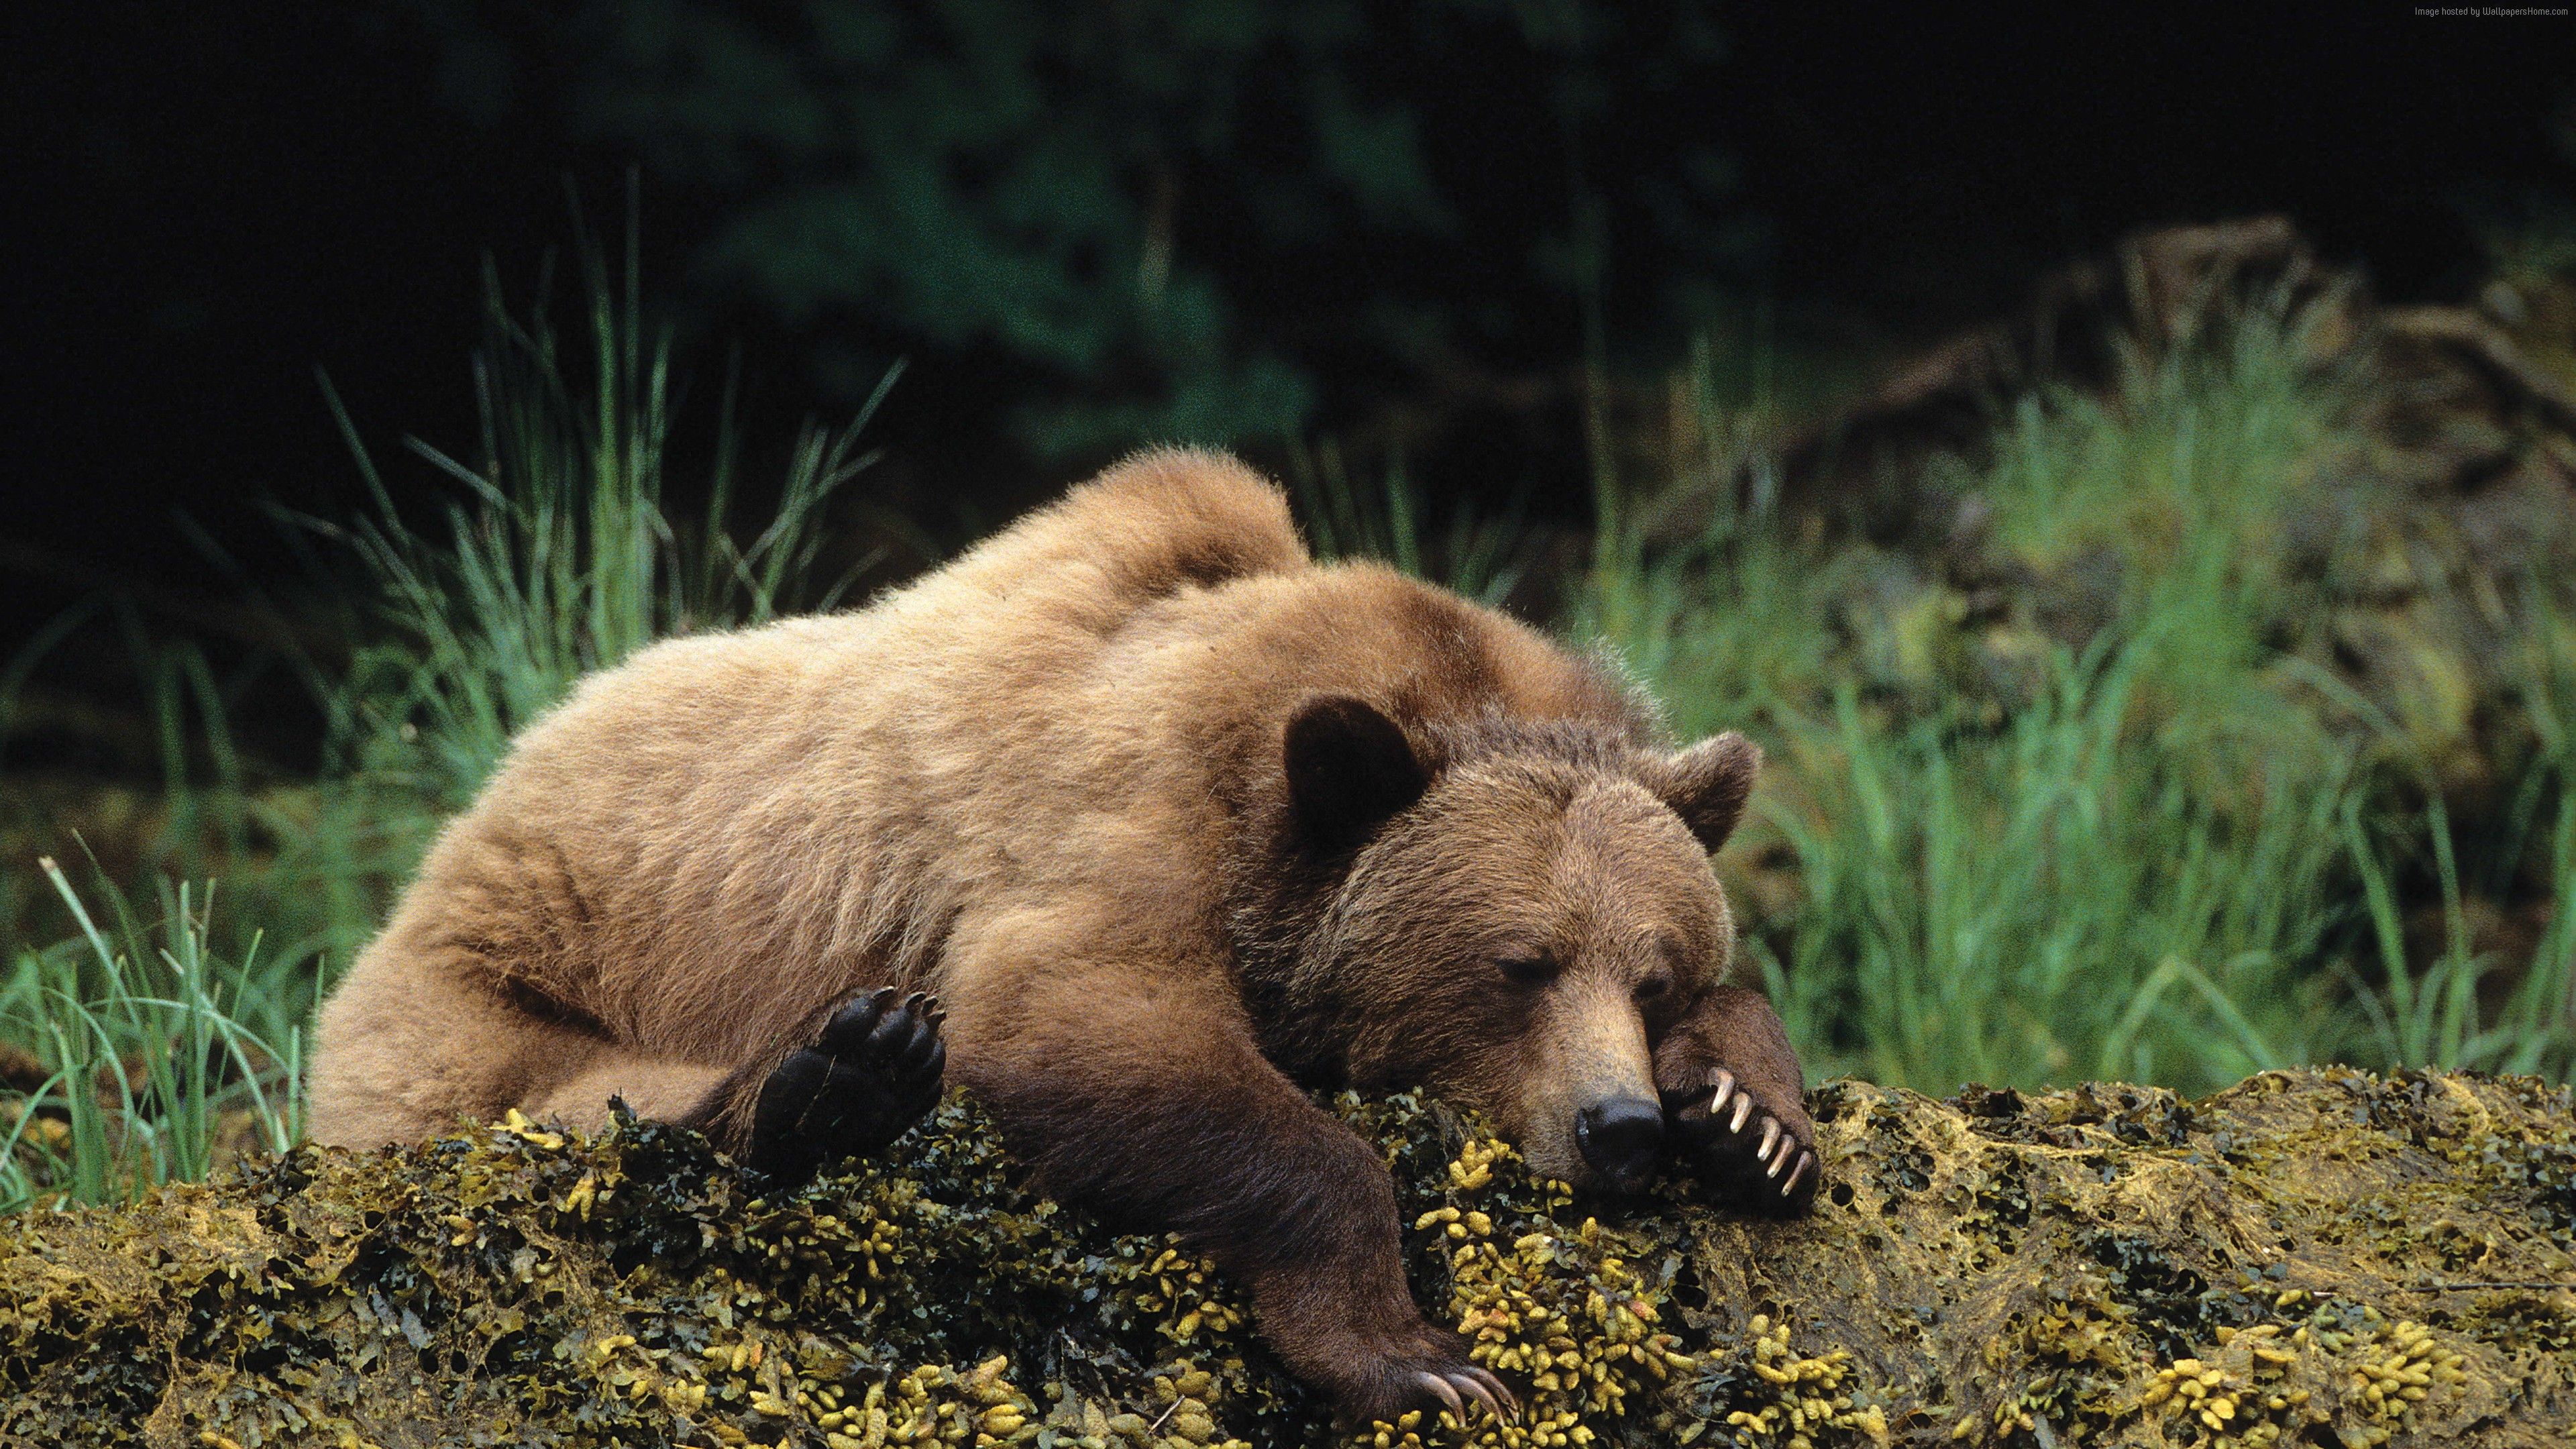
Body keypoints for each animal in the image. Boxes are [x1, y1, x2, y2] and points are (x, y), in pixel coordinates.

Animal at [308, 447, 1819, 1425]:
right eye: (1517, 966)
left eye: (1655, 972)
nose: (1618, 1129)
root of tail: (478, 800)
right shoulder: (1128, 826)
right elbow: (1079, 1022)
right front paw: (1422, 1357)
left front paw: (1752, 1118)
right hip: (481, 991)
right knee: (576, 1103)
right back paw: (836, 1076)